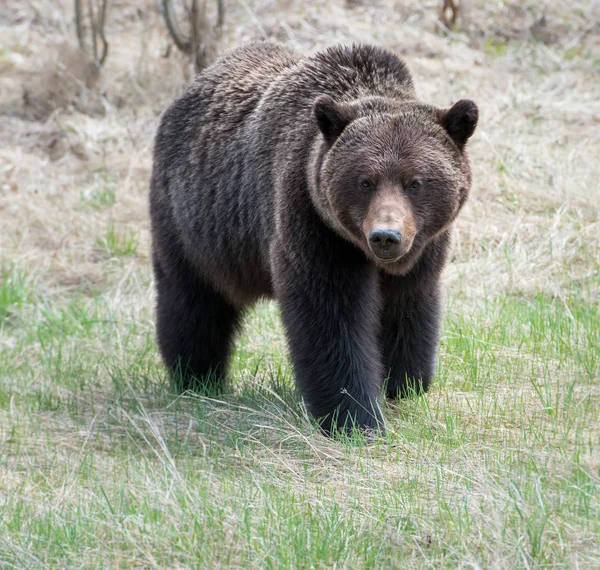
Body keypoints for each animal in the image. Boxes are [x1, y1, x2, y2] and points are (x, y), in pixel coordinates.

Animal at [150, 42, 478, 432]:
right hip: (194, 224)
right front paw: (353, 415)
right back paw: (196, 376)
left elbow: (406, 307)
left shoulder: (424, 247)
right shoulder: (314, 224)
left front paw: (404, 383)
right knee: (192, 300)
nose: (386, 236)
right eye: (365, 181)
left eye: (415, 182)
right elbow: (331, 318)